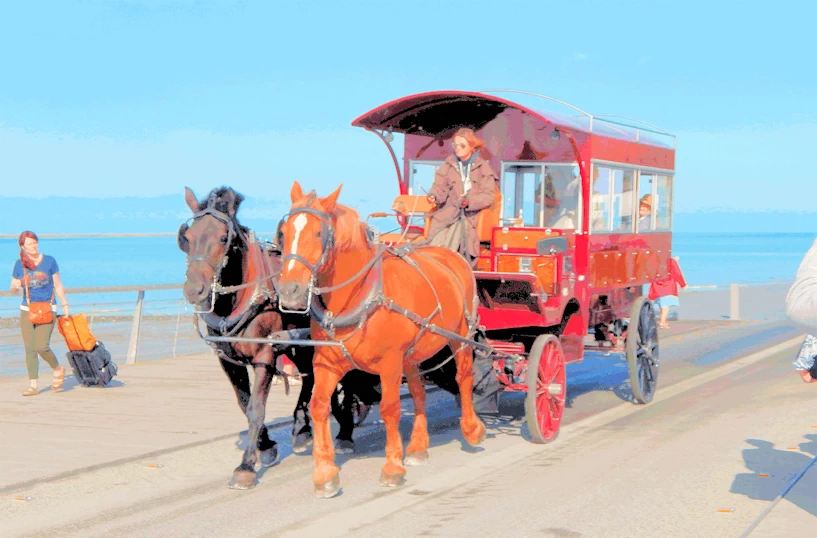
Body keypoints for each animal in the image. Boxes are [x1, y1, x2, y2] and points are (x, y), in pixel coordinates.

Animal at [178, 186, 316, 488]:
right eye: (187, 237)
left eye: (222, 238)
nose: (194, 289)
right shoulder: (227, 360)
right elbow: (244, 403)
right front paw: (265, 447)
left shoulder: (266, 355)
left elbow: (256, 407)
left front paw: (246, 466)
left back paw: (304, 428)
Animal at [278, 182, 488, 496]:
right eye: (285, 231)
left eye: (318, 233)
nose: (290, 290)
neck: (361, 295)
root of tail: (451, 254)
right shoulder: (327, 363)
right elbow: (318, 407)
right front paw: (325, 473)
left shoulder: (389, 363)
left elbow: (390, 409)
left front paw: (392, 467)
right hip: (412, 354)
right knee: (418, 392)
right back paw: (418, 447)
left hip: (461, 337)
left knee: (463, 378)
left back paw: (472, 429)